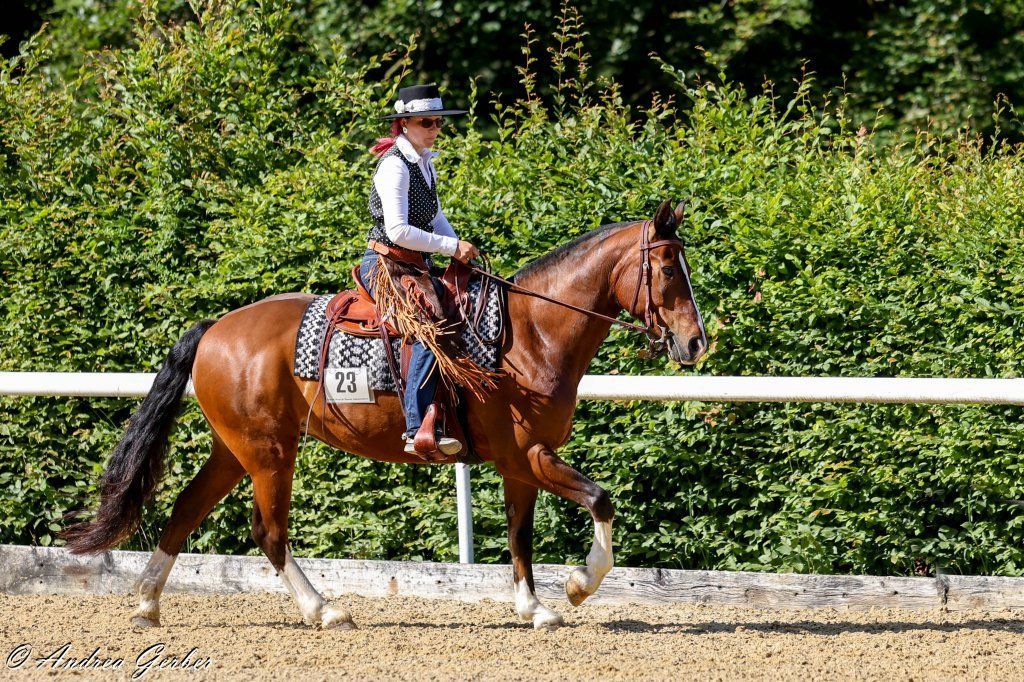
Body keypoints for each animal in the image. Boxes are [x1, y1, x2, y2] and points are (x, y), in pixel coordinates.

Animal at [61, 199, 708, 631]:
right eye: (667, 270)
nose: (697, 343)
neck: (527, 337)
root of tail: (216, 328)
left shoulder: (521, 464)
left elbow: (520, 534)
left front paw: (535, 607)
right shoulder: (527, 455)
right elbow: (600, 499)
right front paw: (577, 585)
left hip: (236, 448)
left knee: (185, 509)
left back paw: (147, 603)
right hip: (270, 454)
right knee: (269, 531)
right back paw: (324, 609)